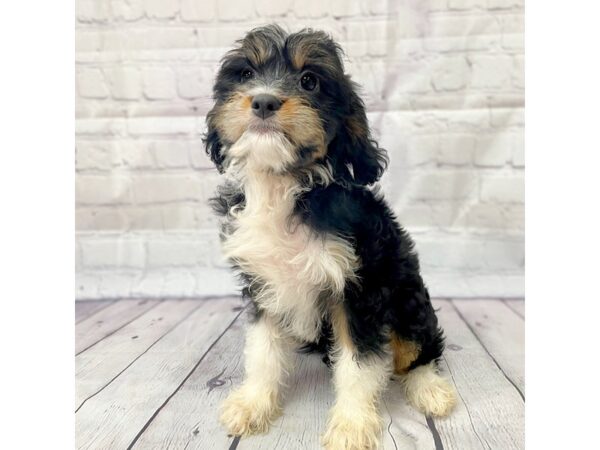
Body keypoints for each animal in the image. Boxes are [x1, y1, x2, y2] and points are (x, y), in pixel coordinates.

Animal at [205, 25, 454, 450]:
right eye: (246, 74)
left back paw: (430, 390)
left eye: (310, 81)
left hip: (408, 297)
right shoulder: (263, 285)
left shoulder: (358, 289)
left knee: (418, 350)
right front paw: (253, 404)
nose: (264, 101)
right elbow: (262, 351)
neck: (285, 186)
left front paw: (352, 425)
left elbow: (358, 363)